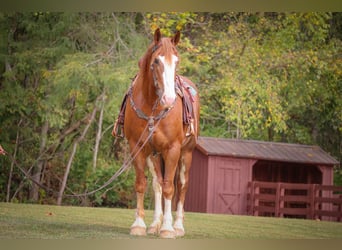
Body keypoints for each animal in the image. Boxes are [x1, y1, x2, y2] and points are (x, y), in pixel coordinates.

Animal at [123, 28, 199, 237]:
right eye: (156, 60)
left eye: (177, 60)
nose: (169, 98)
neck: (151, 106)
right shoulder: (137, 147)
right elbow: (142, 184)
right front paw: (139, 224)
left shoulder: (172, 150)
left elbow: (169, 188)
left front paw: (167, 228)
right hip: (154, 155)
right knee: (157, 184)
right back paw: (155, 224)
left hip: (186, 154)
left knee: (181, 185)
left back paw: (177, 226)